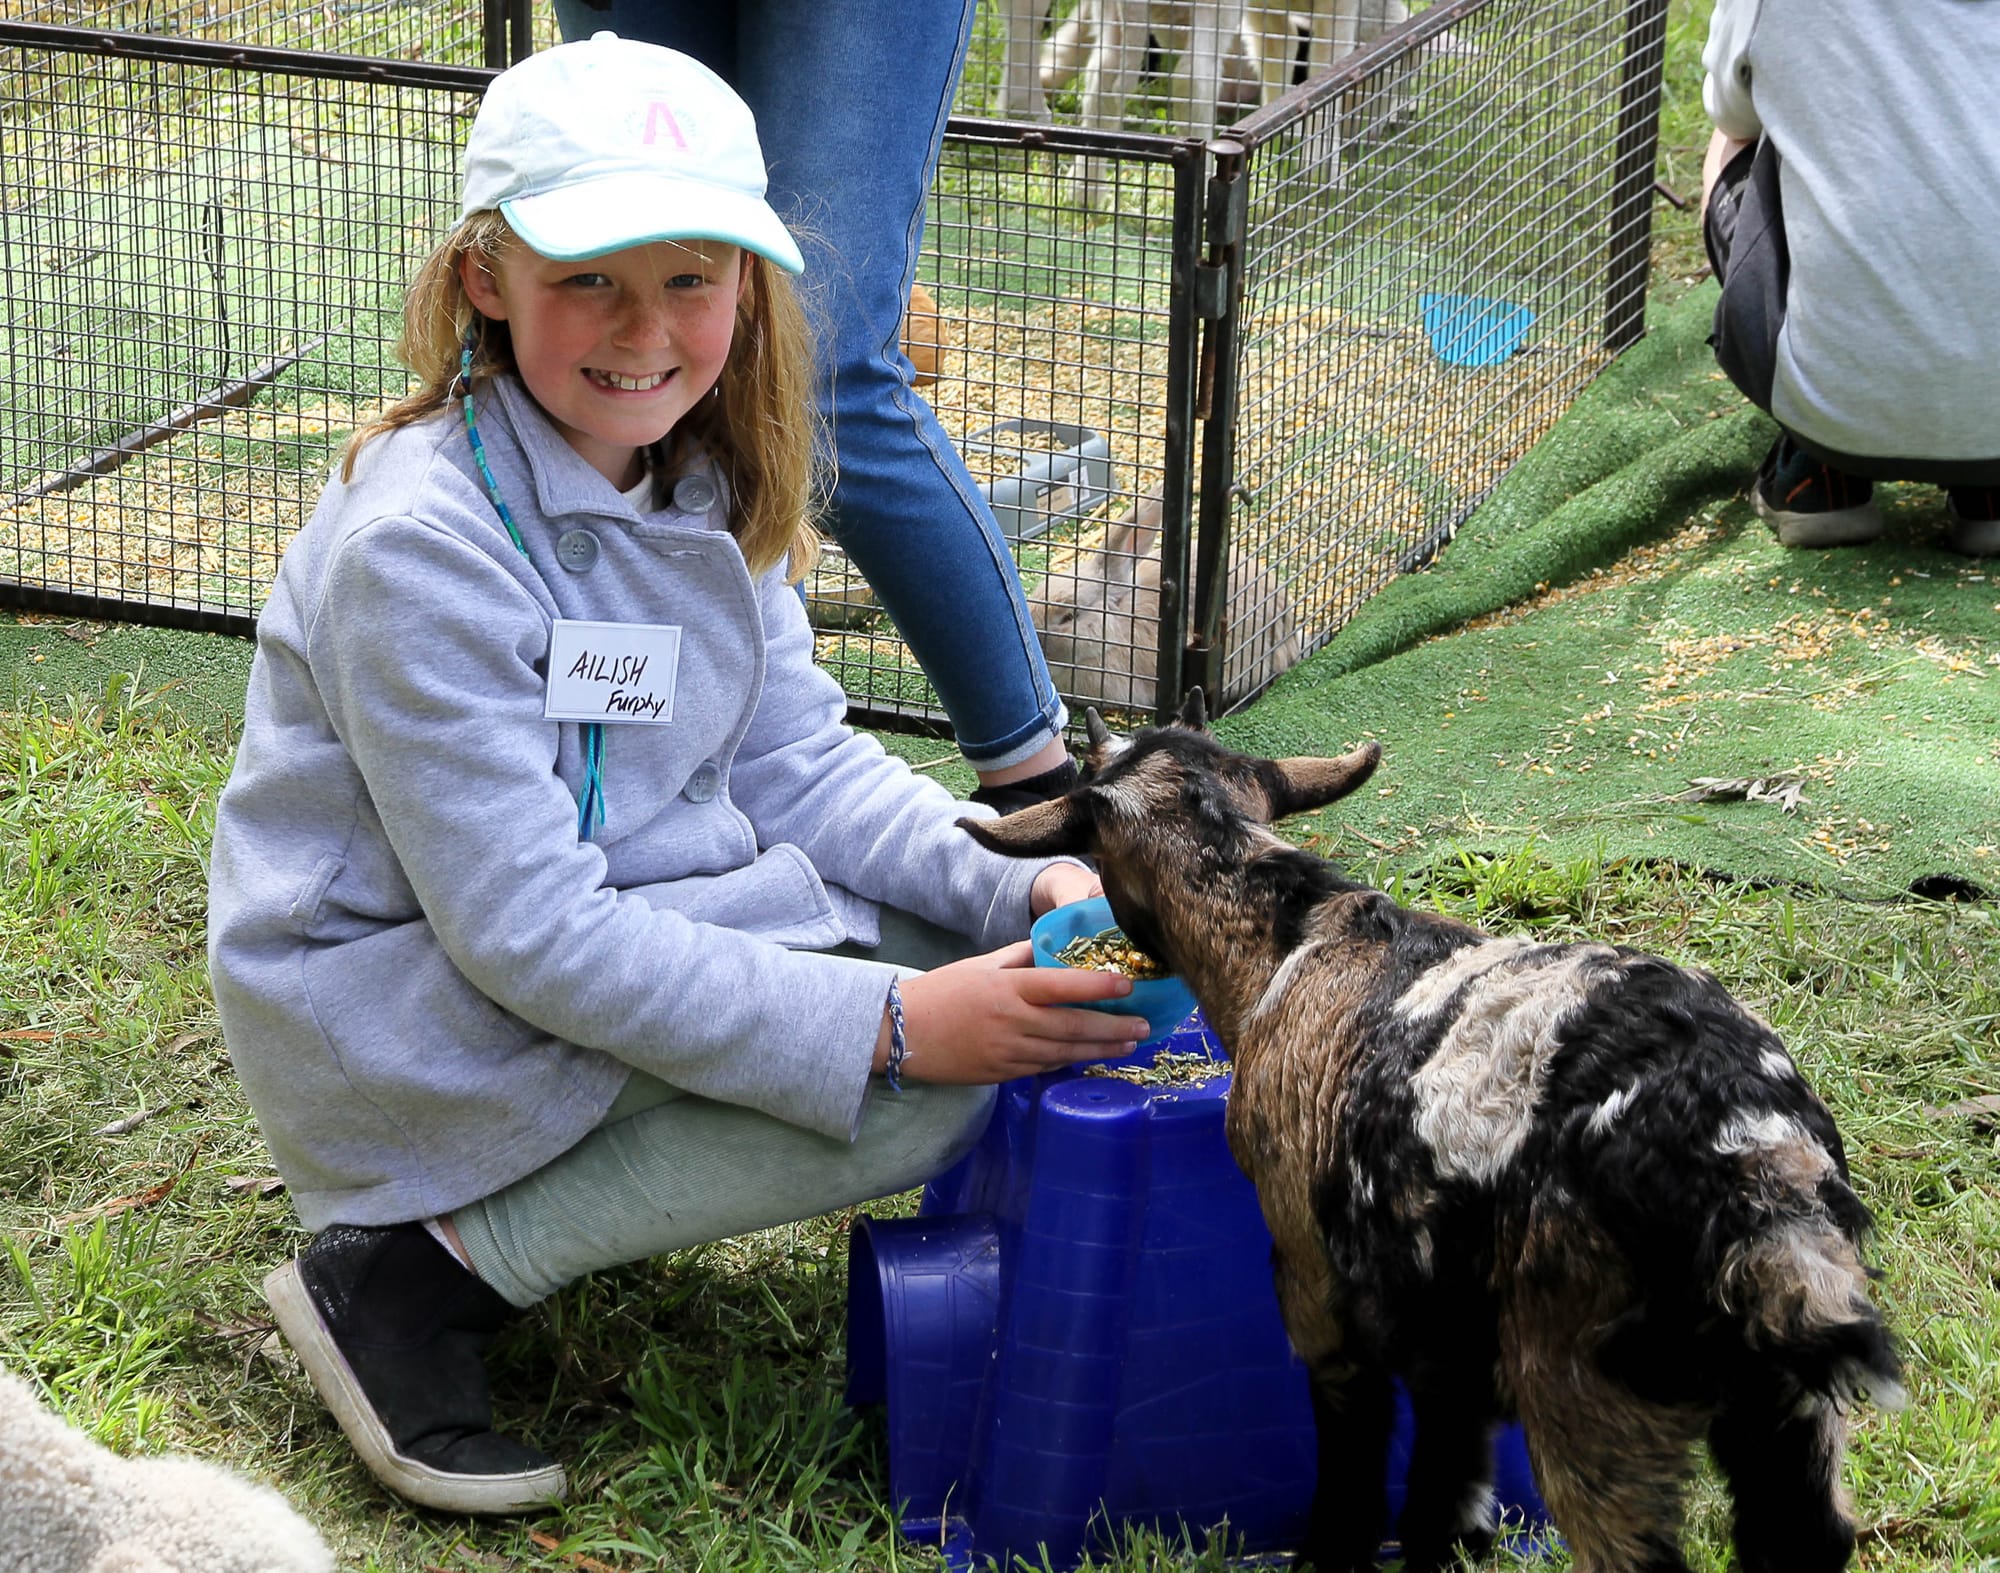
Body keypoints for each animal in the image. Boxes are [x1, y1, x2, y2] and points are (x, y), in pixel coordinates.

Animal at [961, 693, 1905, 1573]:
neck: (1287, 939)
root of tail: (1752, 1171)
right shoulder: (1448, 1343)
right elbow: (1443, 1498)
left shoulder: (1314, 1284)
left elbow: (1355, 1466)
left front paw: (1325, 1553)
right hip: (1780, 1406)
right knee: (1805, 1535)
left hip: (1584, 1378)